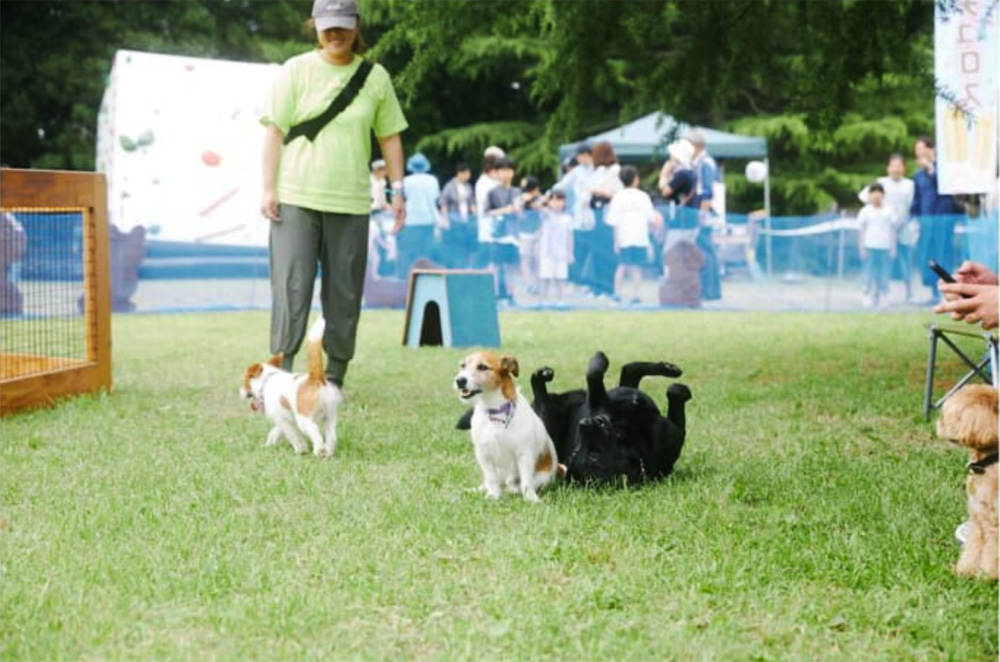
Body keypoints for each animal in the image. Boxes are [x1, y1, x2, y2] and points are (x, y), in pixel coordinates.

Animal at [239, 320, 344, 460]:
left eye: (244, 380)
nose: (240, 392)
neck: (267, 380)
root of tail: (315, 378)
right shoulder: (284, 418)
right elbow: (275, 432)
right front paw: (269, 444)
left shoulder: (284, 421)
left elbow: (294, 436)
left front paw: (300, 450)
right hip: (330, 415)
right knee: (332, 435)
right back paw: (328, 452)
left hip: (304, 419)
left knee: (314, 431)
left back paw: (319, 450)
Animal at [456, 352, 564, 504]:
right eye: (463, 366)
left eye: (482, 367)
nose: (459, 380)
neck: (495, 411)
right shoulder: (483, 453)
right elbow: (491, 479)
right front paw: (493, 495)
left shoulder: (524, 453)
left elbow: (526, 482)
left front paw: (531, 499)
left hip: (542, 477)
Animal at [936, 384, 1000, 580]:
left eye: (951, 415)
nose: (938, 422)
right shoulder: (978, 520)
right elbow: (973, 549)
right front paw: (965, 572)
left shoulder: (993, 523)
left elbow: (992, 553)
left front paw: (987, 577)